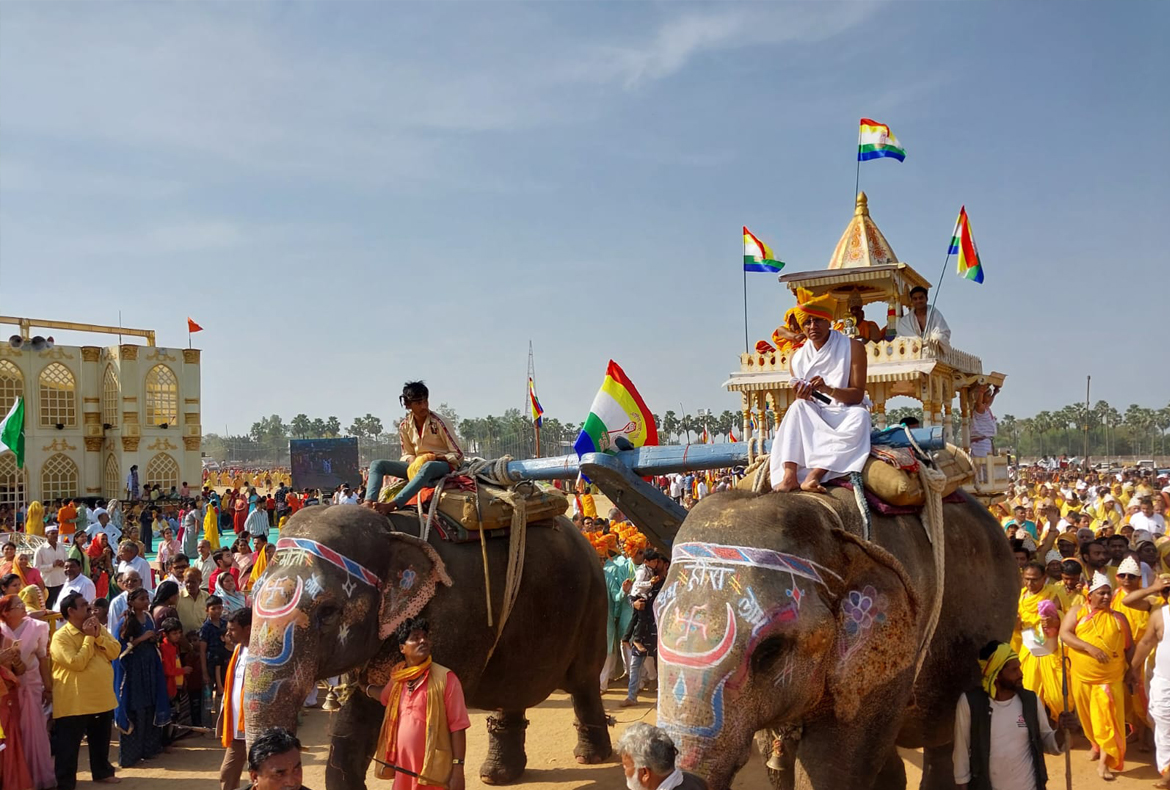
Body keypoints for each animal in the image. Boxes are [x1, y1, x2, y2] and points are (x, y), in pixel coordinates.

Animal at [244, 503, 613, 786]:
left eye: (329, 611)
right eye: (254, 590)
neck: (390, 529)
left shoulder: (452, 618)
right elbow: (360, 715)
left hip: (594, 600)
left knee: (584, 680)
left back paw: (592, 757)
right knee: (512, 689)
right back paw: (497, 775)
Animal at [655, 489, 1020, 790]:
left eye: (770, 650)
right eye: (656, 620)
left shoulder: (889, 649)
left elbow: (832, 767)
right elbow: (779, 765)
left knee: (944, 740)